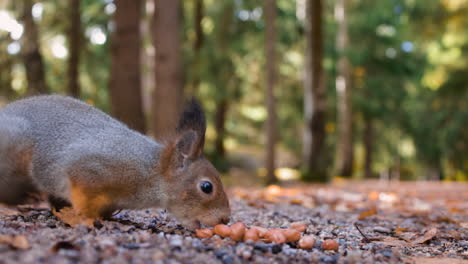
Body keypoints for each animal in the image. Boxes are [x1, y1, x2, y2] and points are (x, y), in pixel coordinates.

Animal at [0, 95, 230, 229]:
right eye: (207, 187)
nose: (225, 219)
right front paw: (86, 218)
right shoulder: (90, 169)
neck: (150, 172)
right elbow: (82, 197)